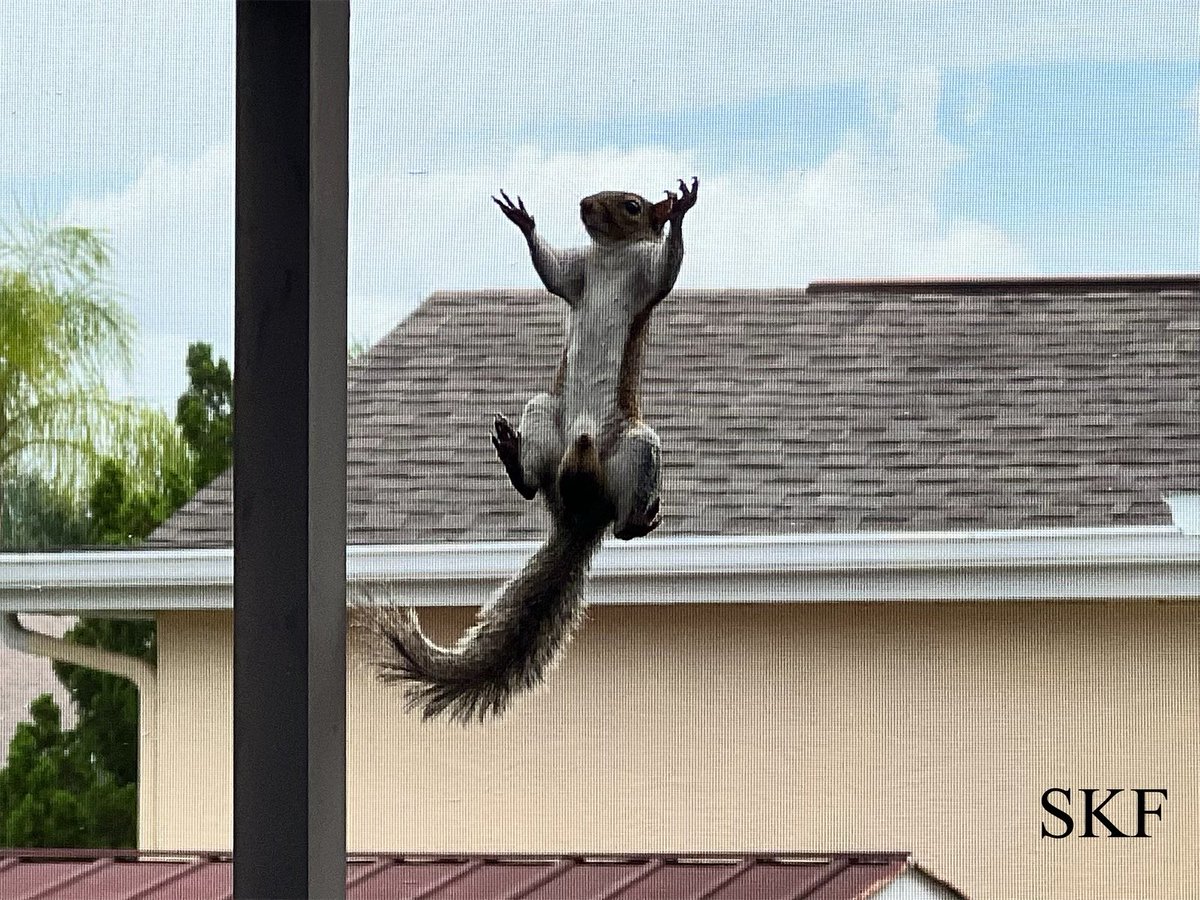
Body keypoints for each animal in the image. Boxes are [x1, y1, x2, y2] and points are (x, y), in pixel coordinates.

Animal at [368, 177, 699, 723]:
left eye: (632, 206)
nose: (584, 205)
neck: (611, 255)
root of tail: (582, 514)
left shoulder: (650, 281)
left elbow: (670, 266)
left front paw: (681, 210)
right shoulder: (577, 276)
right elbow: (553, 272)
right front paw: (523, 219)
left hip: (639, 445)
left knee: (624, 526)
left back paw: (641, 518)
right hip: (543, 411)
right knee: (531, 483)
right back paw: (513, 456)